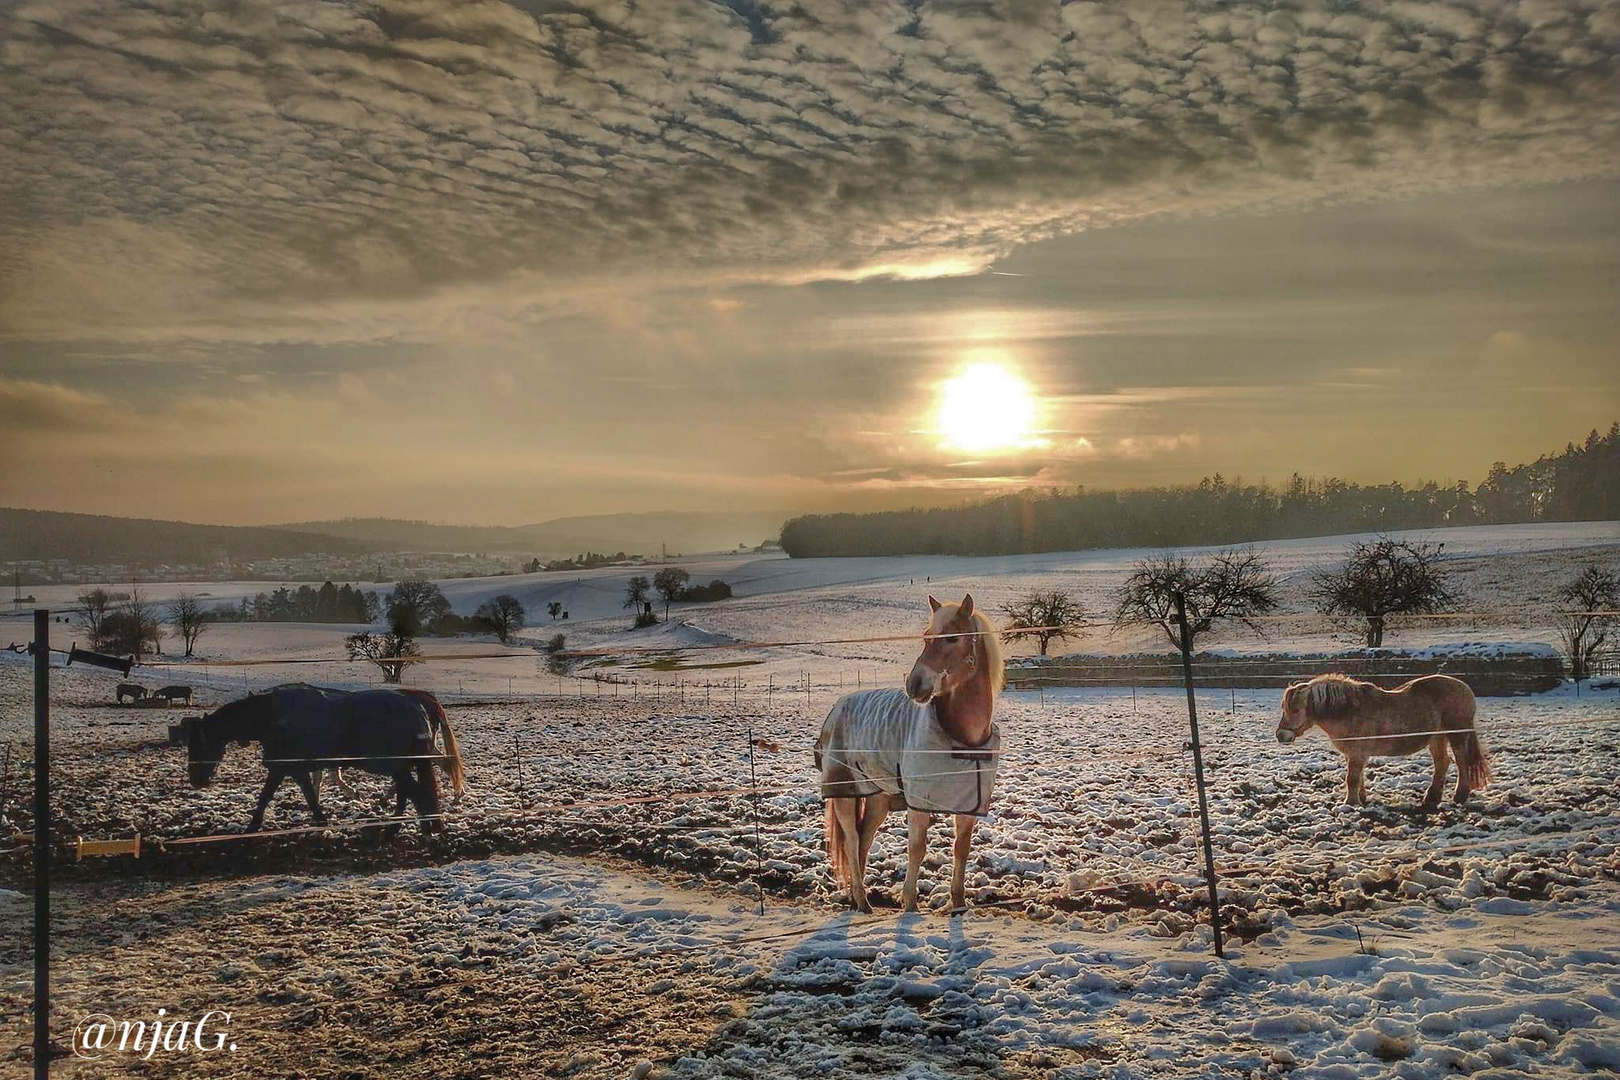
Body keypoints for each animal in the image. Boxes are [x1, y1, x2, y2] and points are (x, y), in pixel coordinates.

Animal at [191, 683, 469, 835]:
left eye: (199, 746)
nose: (196, 781)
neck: (272, 716)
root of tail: (419, 705)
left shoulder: (286, 767)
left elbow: (274, 795)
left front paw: (253, 827)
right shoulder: (291, 768)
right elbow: (303, 791)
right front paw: (319, 819)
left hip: (396, 763)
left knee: (416, 789)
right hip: (401, 764)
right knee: (410, 790)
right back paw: (403, 825)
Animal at [810, 595, 997, 919]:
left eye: (953, 637)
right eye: (926, 637)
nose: (915, 684)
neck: (962, 740)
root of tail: (837, 707)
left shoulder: (968, 805)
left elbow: (961, 848)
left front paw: (958, 904)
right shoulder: (918, 803)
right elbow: (917, 848)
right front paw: (909, 903)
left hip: (877, 798)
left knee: (863, 839)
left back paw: (857, 899)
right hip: (843, 792)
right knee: (851, 841)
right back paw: (862, 901)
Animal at [1276, 676, 1490, 809]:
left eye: (1295, 710)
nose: (1281, 736)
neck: (1349, 710)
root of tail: (1465, 688)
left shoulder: (1358, 753)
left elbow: (1352, 778)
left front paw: (1349, 804)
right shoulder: (1354, 754)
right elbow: (1358, 777)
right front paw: (1361, 799)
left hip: (1457, 736)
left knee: (1461, 762)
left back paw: (1460, 795)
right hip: (1437, 738)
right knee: (1442, 763)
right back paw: (1431, 798)